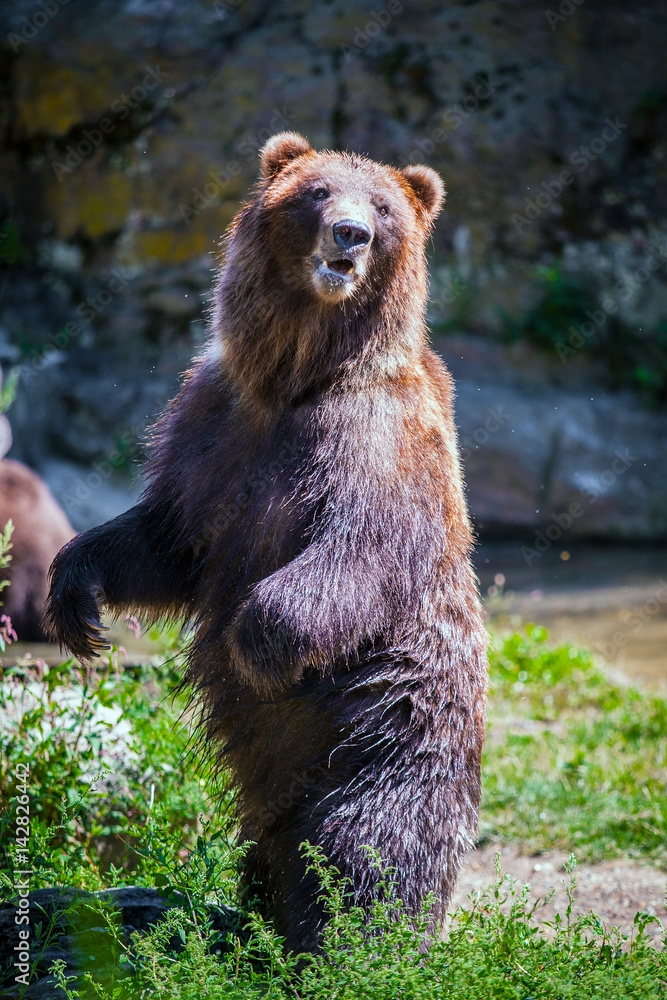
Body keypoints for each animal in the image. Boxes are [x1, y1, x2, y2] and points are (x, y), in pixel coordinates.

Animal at [44, 132, 488, 953]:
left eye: (382, 206)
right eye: (316, 192)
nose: (351, 234)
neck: (295, 375)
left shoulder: (375, 443)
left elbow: (356, 555)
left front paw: (255, 641)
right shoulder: (212, 424)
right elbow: (169, 539)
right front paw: (77, 598)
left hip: (386, 733)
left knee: (364, 845)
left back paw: (349, 949)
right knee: (273, 852)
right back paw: (251, 930)